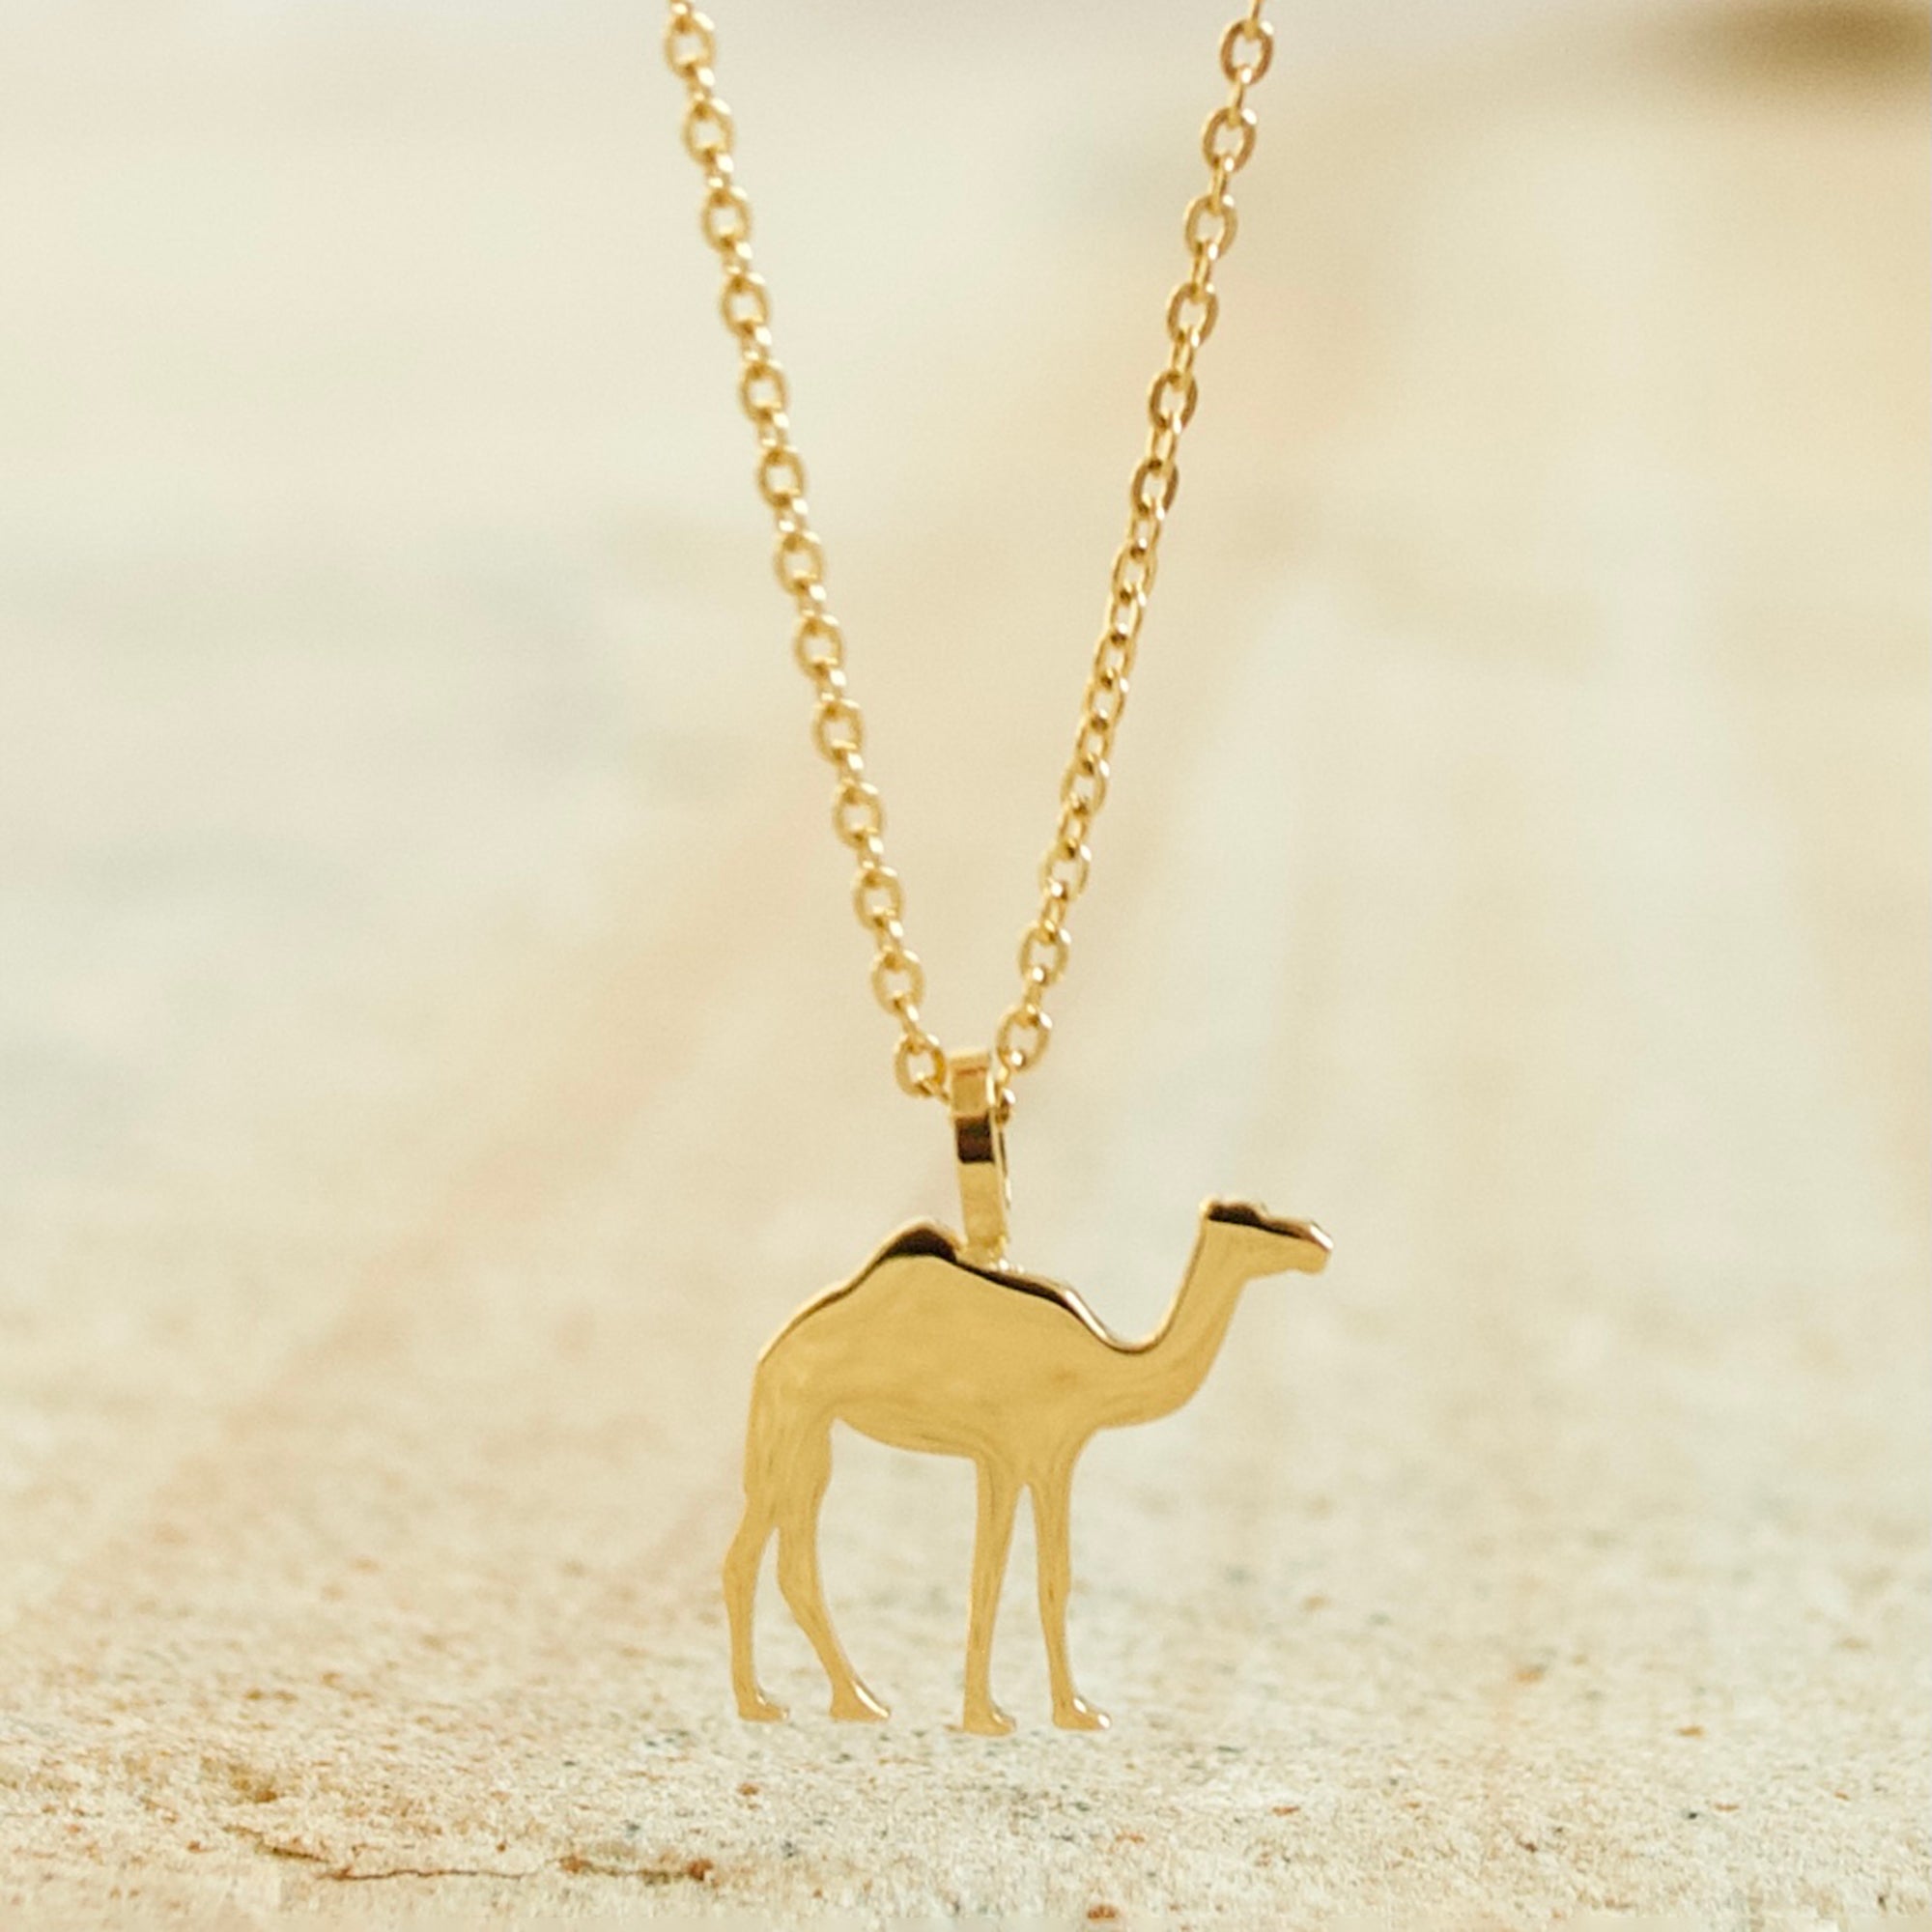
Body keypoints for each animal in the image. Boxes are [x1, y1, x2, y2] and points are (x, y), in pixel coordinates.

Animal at [723, 1198, 1331, 1735]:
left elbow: (1048, 1577)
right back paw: (770, 1704)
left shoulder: (1046, 1458)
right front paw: (991, 1717)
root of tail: (773, 1356)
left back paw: (844, 1702)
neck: (1102, 1368)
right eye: (1254, 1219)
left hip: (812, 1443)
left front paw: (1068, 1710)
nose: (1319, 1243)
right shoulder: (1014, 1454)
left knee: (790, 1564)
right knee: (748, 1560)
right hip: (791, 1420)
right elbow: (996, 1579)